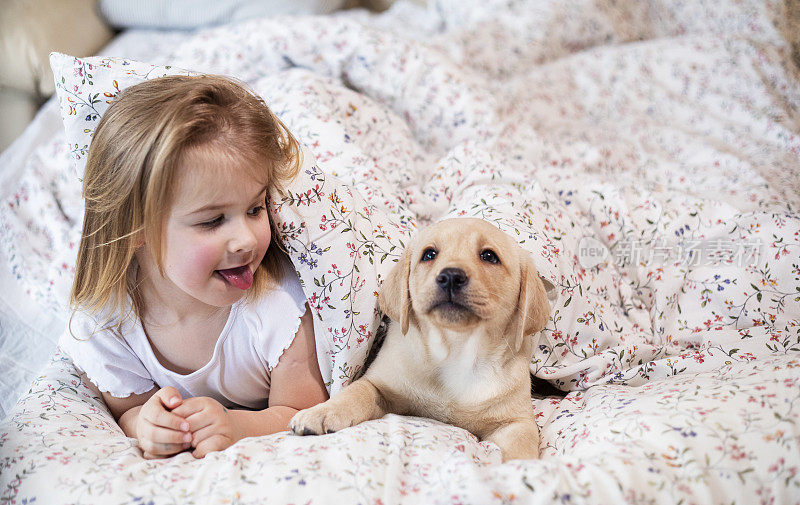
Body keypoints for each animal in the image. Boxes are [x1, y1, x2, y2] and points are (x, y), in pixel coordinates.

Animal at [290, 217, 556, 460]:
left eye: (489, 256)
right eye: (429, 254)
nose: (451, 276)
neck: (456, 350)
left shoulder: (516, 421)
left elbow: (522, 448)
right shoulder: (380, 385)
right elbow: (355, 393)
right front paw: (321, 412)